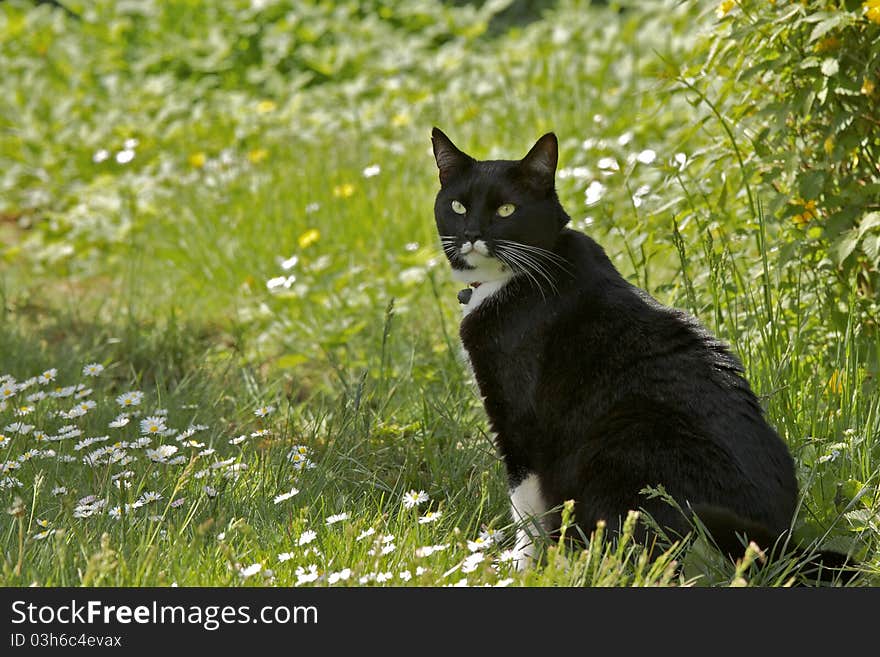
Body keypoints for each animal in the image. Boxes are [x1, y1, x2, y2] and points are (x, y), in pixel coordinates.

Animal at [432, 127, 804, 568]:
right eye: (457, 206)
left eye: (506, 209)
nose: (471, 234)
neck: (511, 279)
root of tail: (777, 544)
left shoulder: (517, 411)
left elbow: (525, 502)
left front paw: (522, 567)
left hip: (625, 439)